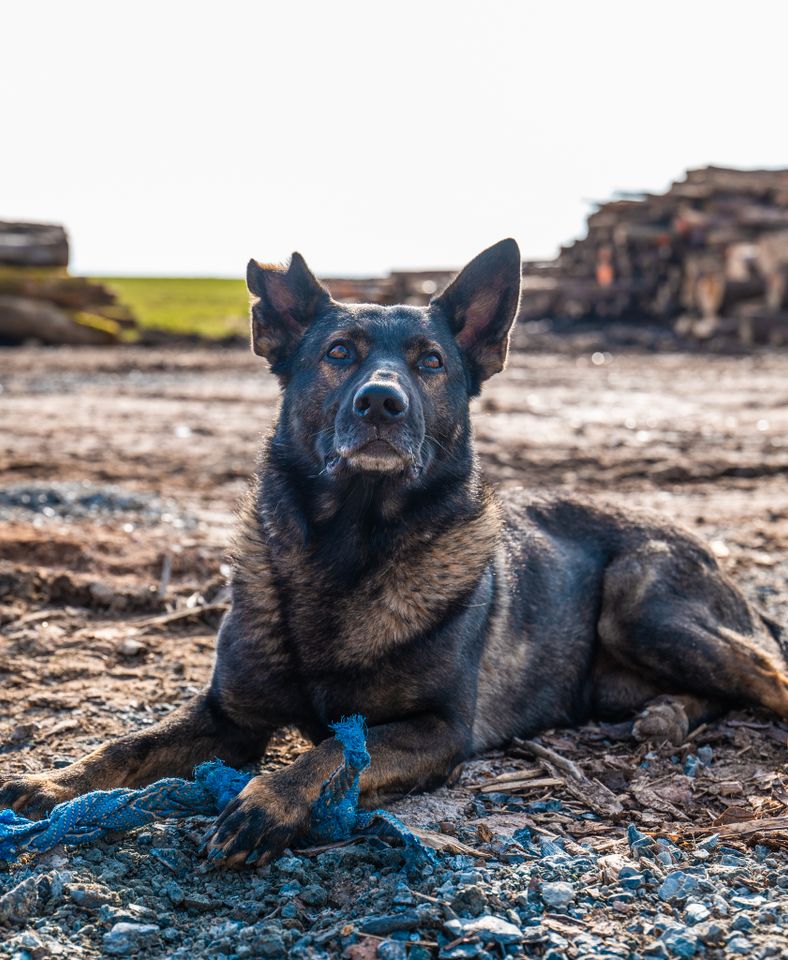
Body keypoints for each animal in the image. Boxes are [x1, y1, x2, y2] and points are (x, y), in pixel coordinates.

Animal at [1, 240, 788, 872]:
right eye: (339, 353)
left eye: (431, 362)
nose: (382, 403)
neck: (347, 551)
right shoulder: (228, 718)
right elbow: (126, 747)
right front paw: (51, 783)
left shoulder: (438, 731)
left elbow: (332, 751)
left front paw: (266, 801)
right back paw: (665, 715)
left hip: (639, 601)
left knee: (769, 676)